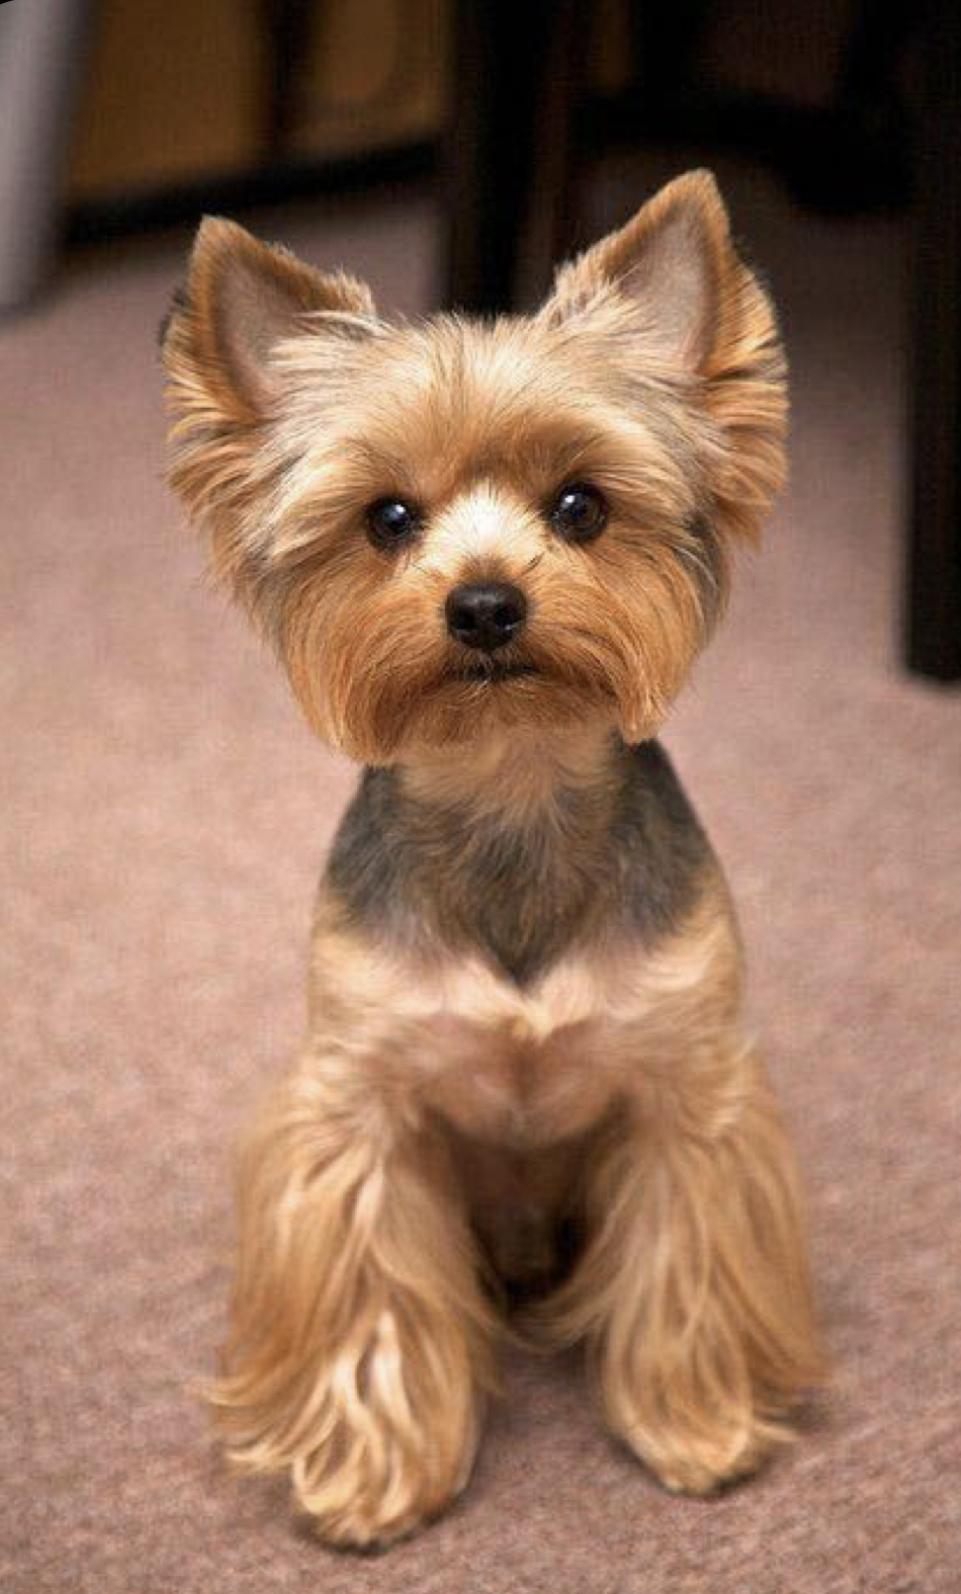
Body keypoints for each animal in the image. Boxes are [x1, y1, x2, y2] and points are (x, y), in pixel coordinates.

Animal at [161, 170, 825, 1547]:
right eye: (385, 519)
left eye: (580, 505)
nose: (480, 603)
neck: (510, 784)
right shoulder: (359, 1111)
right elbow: (372, 1297)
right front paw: (374, 1474)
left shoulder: (688, 1091)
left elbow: (682, 1259)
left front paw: (692, 1425)